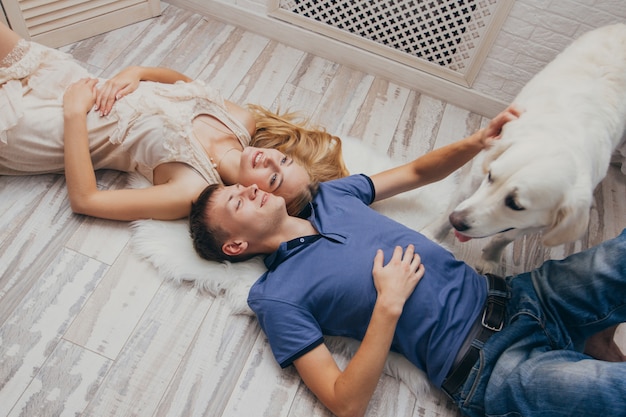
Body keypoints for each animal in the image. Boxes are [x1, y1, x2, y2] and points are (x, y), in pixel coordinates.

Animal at [442, 23, 620, 272]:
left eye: (515, 205)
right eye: (491, 177)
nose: (456, 220)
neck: (559, 136)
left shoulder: (538, 223)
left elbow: (506, 236)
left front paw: (491, 257)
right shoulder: (477, 176)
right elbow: (453, 205)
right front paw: (431, 234)